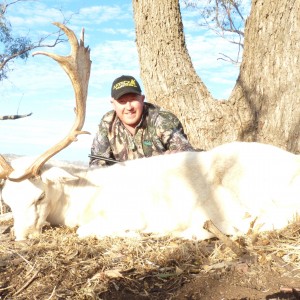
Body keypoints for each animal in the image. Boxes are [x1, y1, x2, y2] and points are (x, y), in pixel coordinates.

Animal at [0, 25, 300, 244]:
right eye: (8, 201)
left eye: (39, 197)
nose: (23, 238)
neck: (82, 200)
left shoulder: (128, 213)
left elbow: (86, 230)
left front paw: (134, 233)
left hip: (251, 184)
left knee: (273, 219)